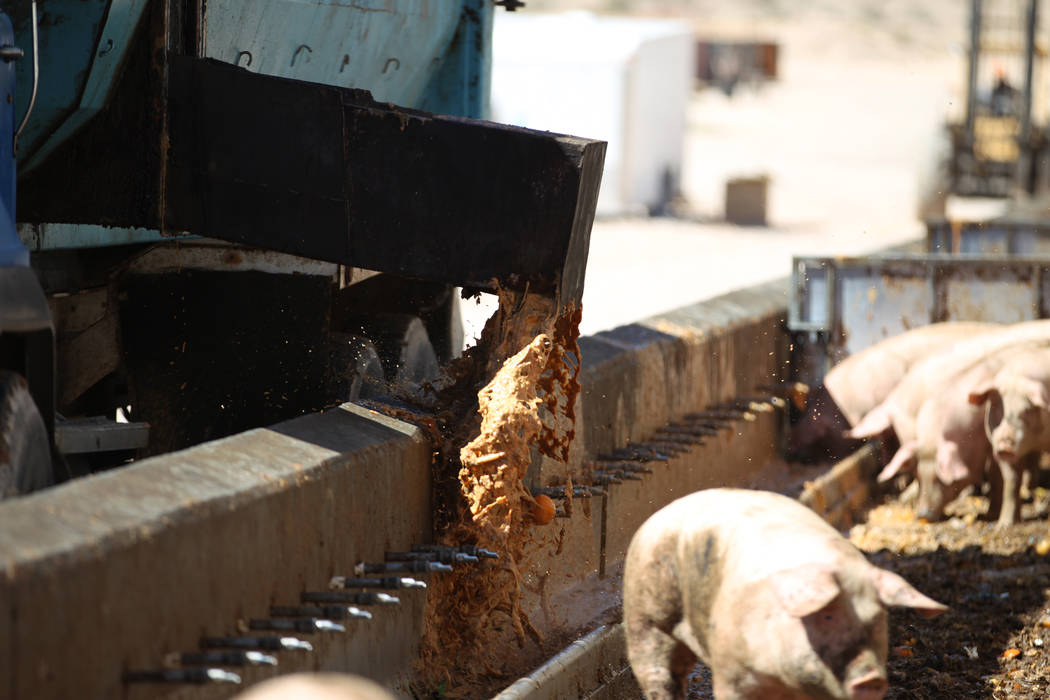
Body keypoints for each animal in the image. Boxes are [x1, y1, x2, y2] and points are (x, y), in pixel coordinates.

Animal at [617, 486, 949, 700]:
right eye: (826, 616)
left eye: (878, 619)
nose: (872, 678)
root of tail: (659, 514)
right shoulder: (732, 672)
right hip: (645, 617)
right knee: (659, 674)